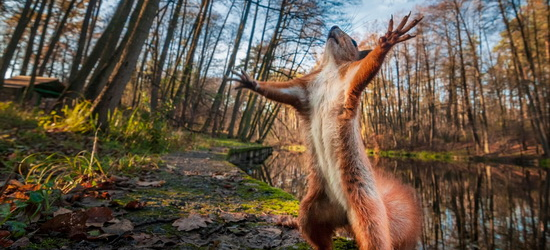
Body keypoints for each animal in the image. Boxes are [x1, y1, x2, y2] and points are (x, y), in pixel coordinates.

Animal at [231, 14, 424, 250]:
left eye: (354, 42)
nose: (333, 26)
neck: (330, 69)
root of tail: (345, 216)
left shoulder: (350, 79)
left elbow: (367, 68)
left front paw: (388, 40)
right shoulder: (303, 90)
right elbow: (279, 91)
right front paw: (251, 82)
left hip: (369, 214)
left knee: (374, 239)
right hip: (312, 210)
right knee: (319, 236)